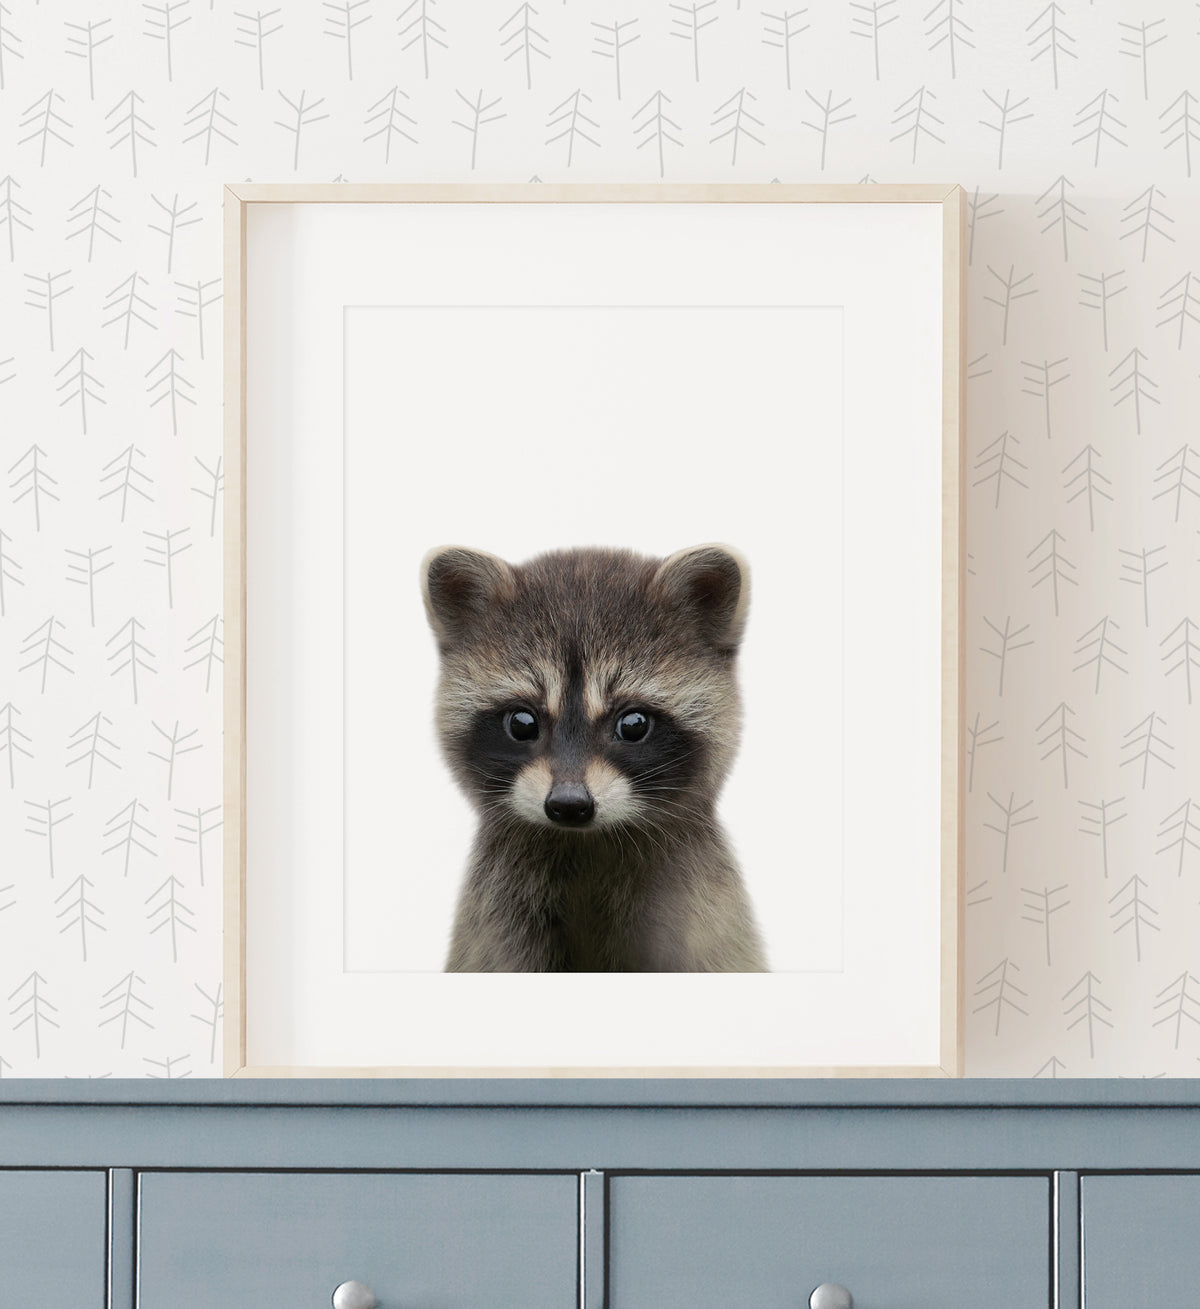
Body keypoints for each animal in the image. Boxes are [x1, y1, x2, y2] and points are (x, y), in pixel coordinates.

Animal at [421, 542, 768, 973]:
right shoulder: (501, 917)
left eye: (633, 725)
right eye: (522, 723)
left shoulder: (703, 917)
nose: (569, 804)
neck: (586, 842)